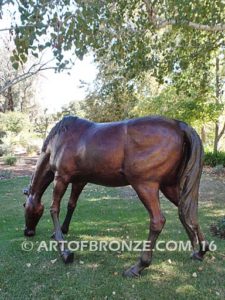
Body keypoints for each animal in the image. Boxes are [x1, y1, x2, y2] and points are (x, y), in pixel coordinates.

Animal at [23, 115, 209, 276]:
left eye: (24, 206)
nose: (27, 231)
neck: (60, 140)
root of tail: (178, 125)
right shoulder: (79, 181)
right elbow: (71, 205)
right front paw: (62, 230)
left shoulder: (61, 177)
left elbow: (54, 209)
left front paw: (64, 250)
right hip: (168, 187)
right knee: (188, 212)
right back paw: (200, 251)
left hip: (145, 186)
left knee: (158, 221)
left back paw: (138, 266)